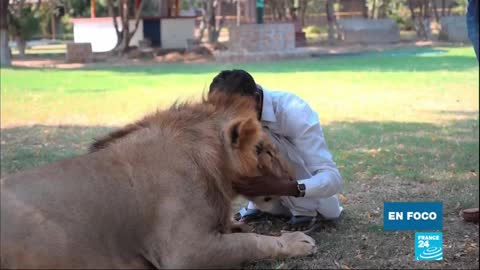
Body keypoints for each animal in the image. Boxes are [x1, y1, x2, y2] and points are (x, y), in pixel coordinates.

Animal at [0, 92, 316, 268]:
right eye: (267, 151)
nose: (294, 180)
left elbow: (241, 232)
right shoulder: (185, 252)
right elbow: (251, 242)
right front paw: (296, 241)